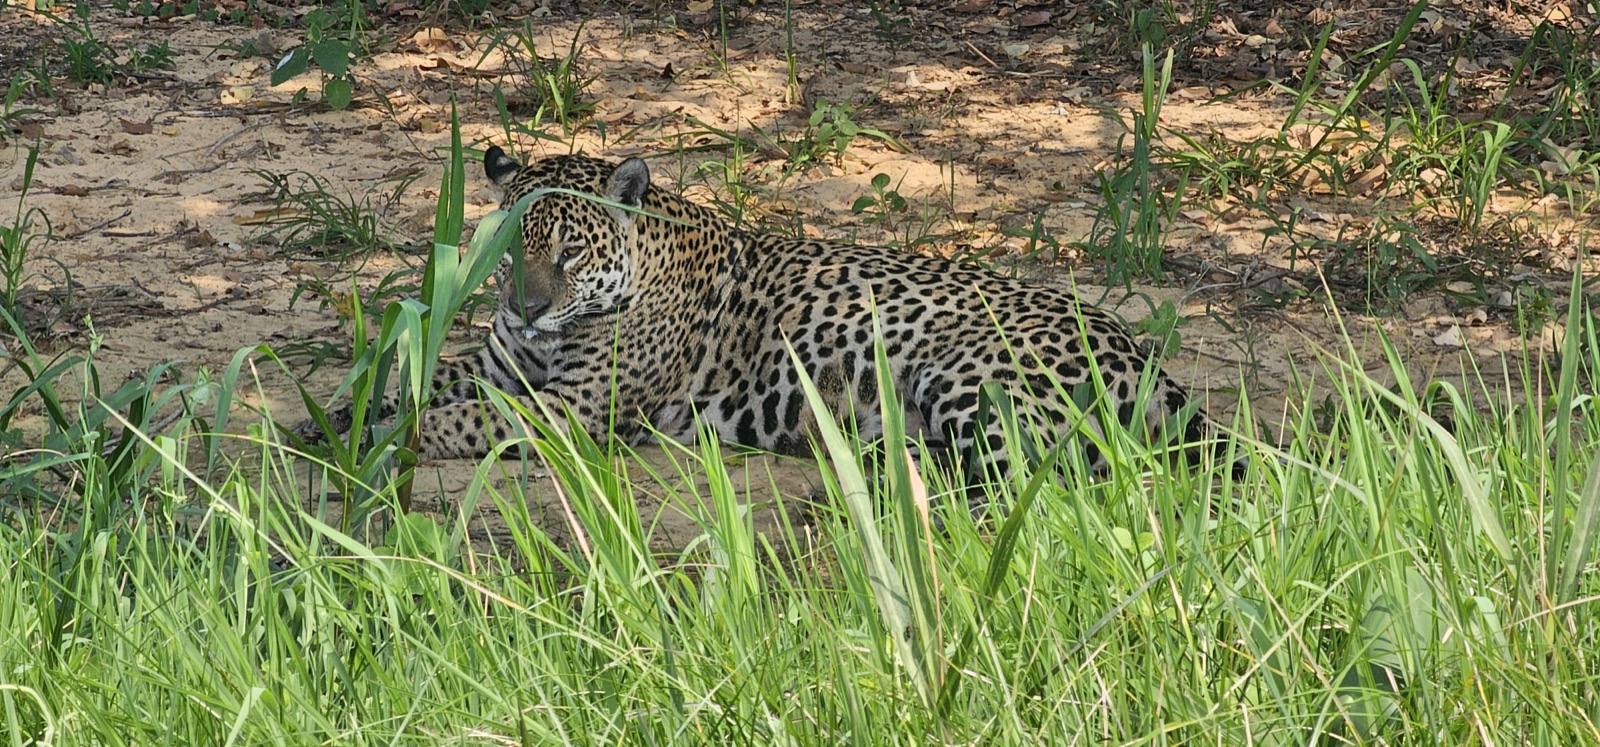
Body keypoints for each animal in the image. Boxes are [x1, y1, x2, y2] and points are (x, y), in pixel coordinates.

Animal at [298, 145, 1241, 504]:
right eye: (505, 249)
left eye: (568, 251)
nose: (524, 309)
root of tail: (1140, 352)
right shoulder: (499, 367)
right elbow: (417, 379)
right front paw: (336, 417)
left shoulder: (571, 410)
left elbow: (452, 417)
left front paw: (376, 439)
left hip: (971, 375)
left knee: (1043, 484)